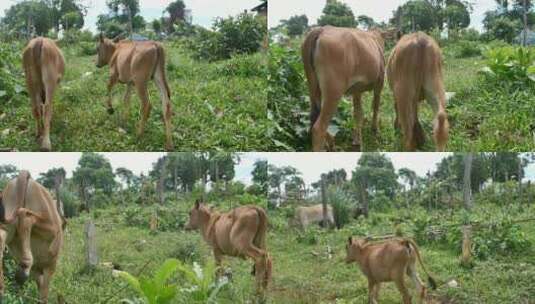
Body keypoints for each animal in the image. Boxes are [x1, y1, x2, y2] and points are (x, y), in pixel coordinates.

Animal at [0, 170, 63, 302]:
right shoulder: (50, 266)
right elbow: (44, 293)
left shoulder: (37, 271)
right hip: (50, 226)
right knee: (25, 215)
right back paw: (24, 268)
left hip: (9, 222)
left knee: (2, 235)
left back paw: (1, 287)